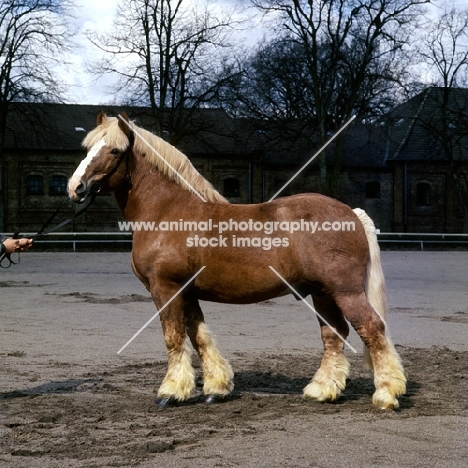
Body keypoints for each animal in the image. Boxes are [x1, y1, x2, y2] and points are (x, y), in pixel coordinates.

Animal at [66, 112, 406, 410]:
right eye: (87, 148)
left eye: (113, 150)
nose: (75, 187)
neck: (166, 210)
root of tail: (352, 213)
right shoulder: (187, 292)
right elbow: (199, 336)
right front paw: (216, 388)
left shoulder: (166, 289)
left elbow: (174, 337)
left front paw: (171, 392)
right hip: (323, 293)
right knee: (333, 335)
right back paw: (322, 391)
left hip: (345, 292)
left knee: (372, 328)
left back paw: (386, 395)